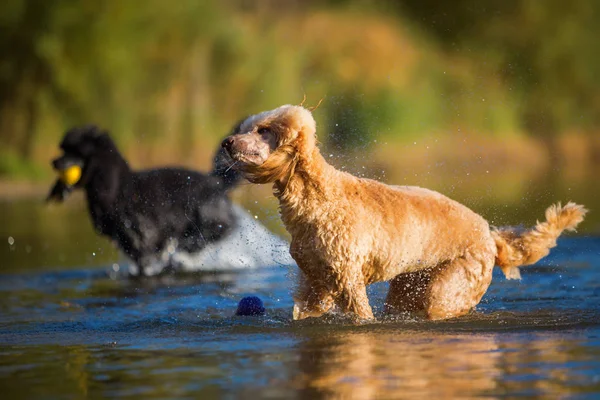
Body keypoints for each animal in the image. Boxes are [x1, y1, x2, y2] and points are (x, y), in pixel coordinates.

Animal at [47, 124, 292, 276]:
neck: (119, 189)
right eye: (63, 148)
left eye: (76, 152)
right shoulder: (130, 246)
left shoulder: (144, 242)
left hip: (211, 223)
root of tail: (216, 182)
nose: (54, 162)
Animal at [221, 104, 584, 320]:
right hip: (409, 286)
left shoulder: (347, 276)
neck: (320, 196)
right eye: (248, 127)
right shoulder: (315, 280)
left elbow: (360, 313)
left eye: (264, 131)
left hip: (446, 288)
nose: (226, 143)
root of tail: (489, 236)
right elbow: (309, 308)